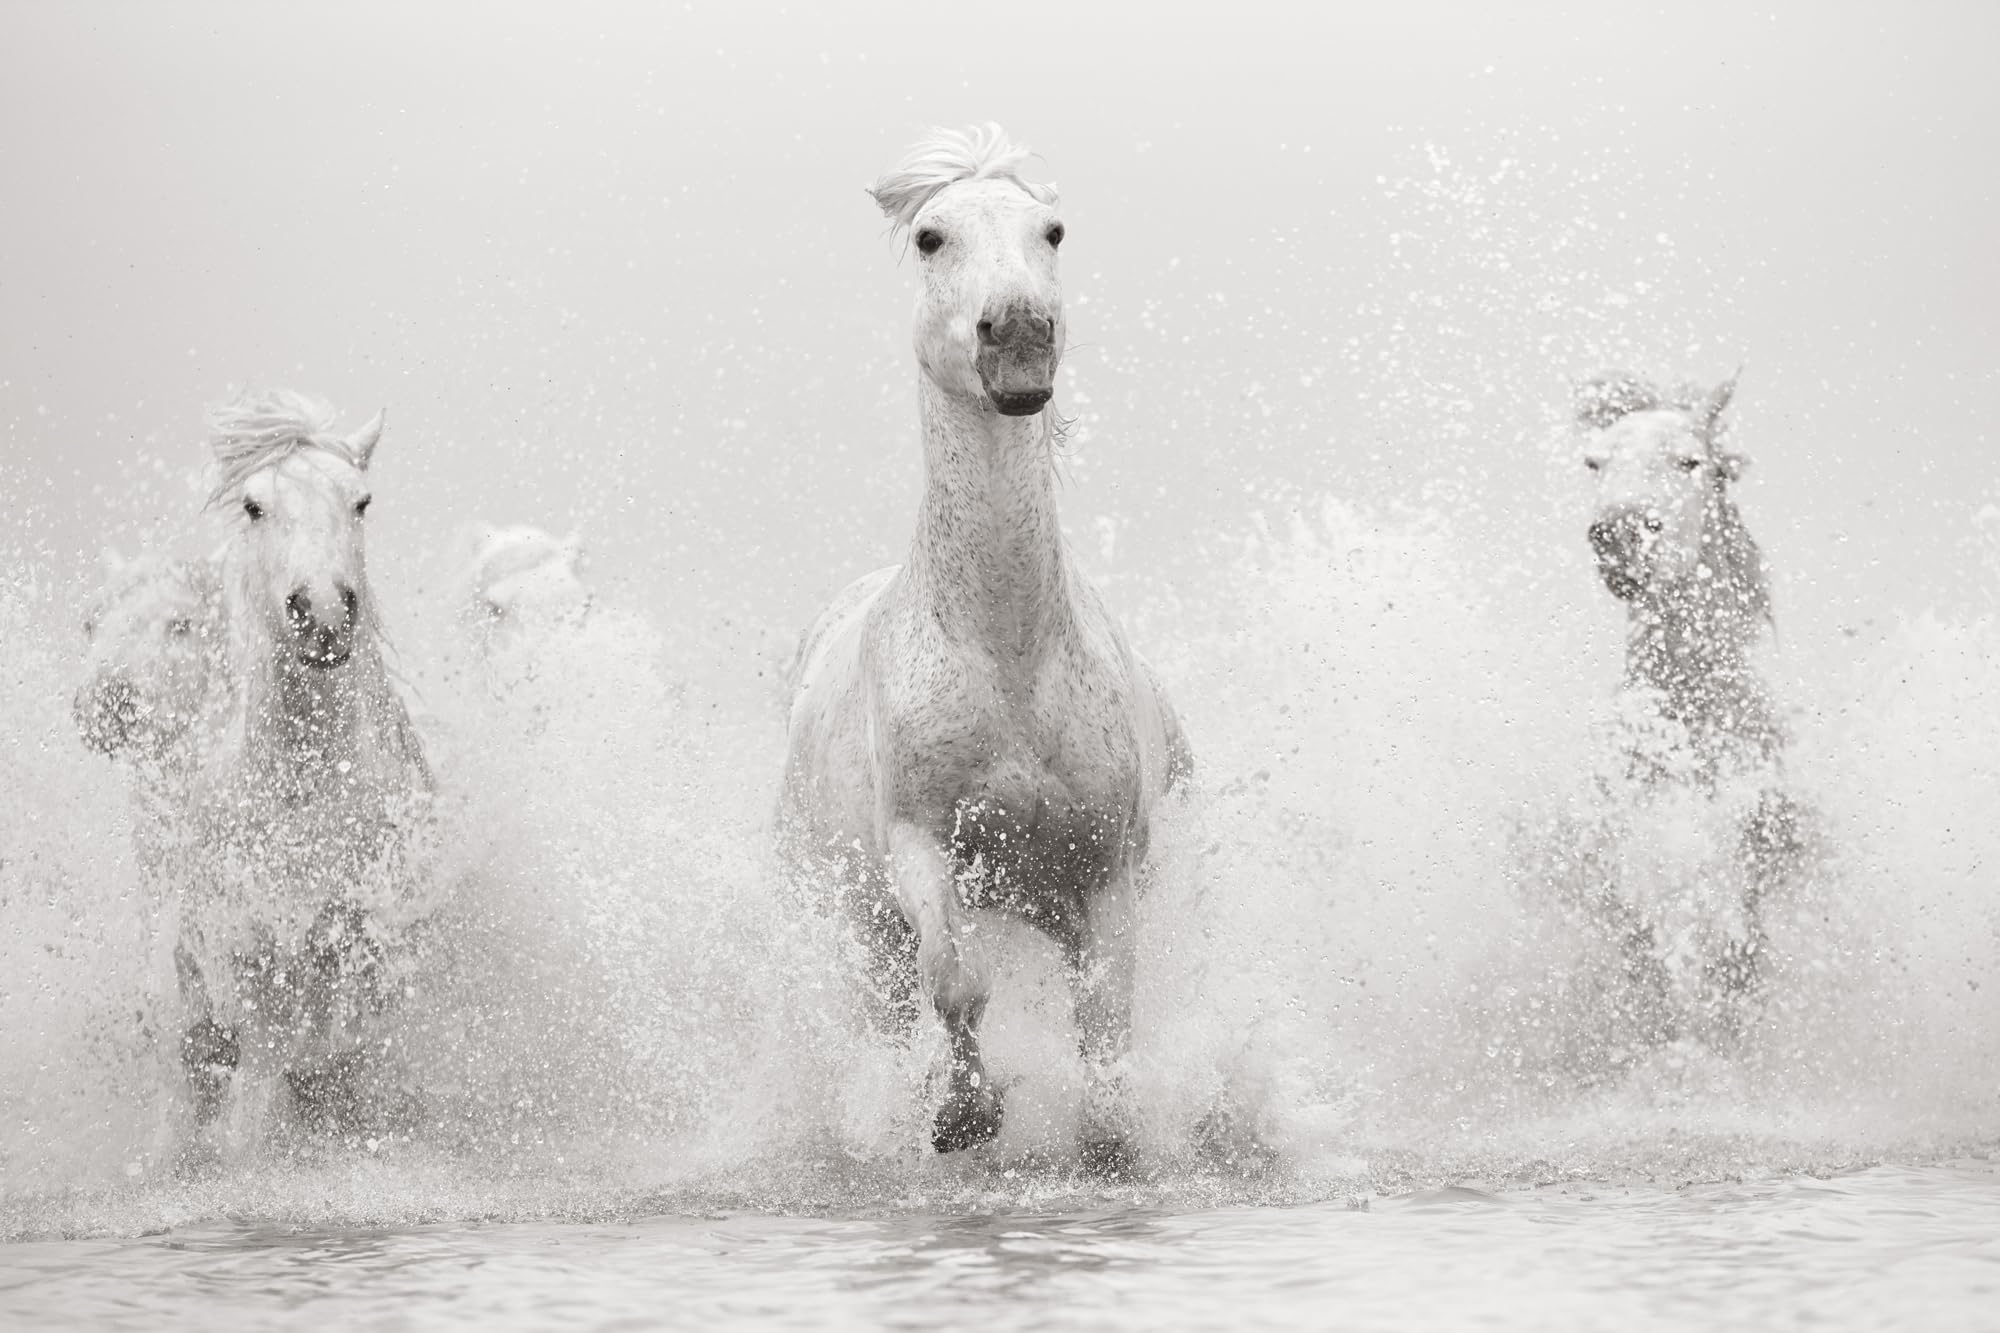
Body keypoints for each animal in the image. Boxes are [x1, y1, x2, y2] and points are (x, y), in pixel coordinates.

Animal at [175, 390, 435, 1140]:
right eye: (253, 506)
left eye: (362, 501)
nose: (321, 611)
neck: (304, 788)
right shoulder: (246, 958)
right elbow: (259, 1090)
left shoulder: (365, 950)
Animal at [778, 125, 1191, 1170]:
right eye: (932, 236)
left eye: (1053, 230)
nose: (1019, 335)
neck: (1007, 656)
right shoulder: (920, 845)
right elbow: (956, 978)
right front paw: (964, 1113)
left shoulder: (1106, 870)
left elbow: (1106, 1021)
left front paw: (1106, 1139)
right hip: (857, 925)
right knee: (892, 1010)